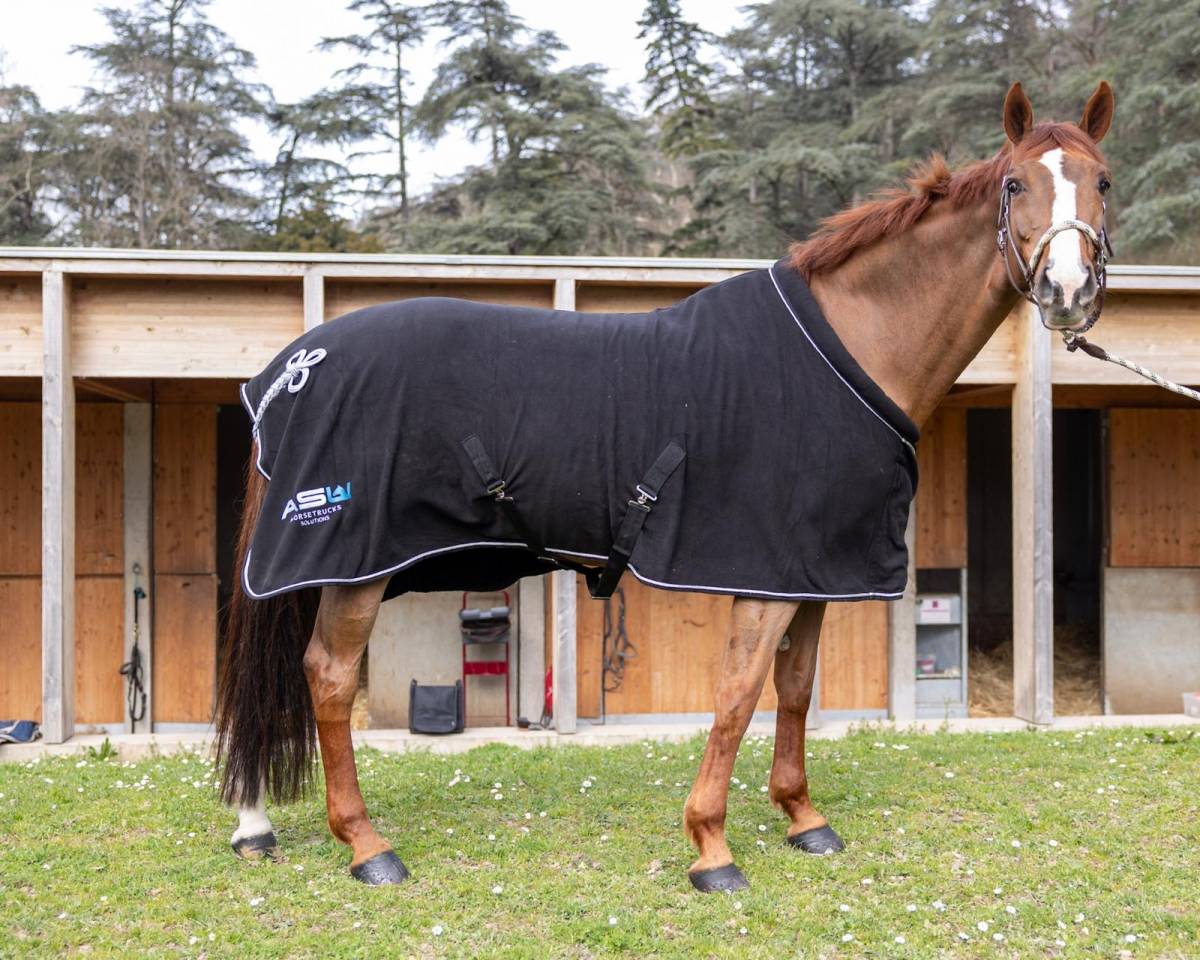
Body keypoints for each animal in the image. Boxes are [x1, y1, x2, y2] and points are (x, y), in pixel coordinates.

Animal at [215, 81, 1115, 892]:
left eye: (1102, 181)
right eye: (1015, 184)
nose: (1069, 292)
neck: (849, 350)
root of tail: (291, 370)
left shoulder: (812, 574)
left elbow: (795, 690)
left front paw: (803, 817)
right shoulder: (761, 575)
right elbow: (737, 696)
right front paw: (711, 846)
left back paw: (261, 824)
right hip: (352, 565)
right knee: (330, 677)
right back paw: (366, 845)